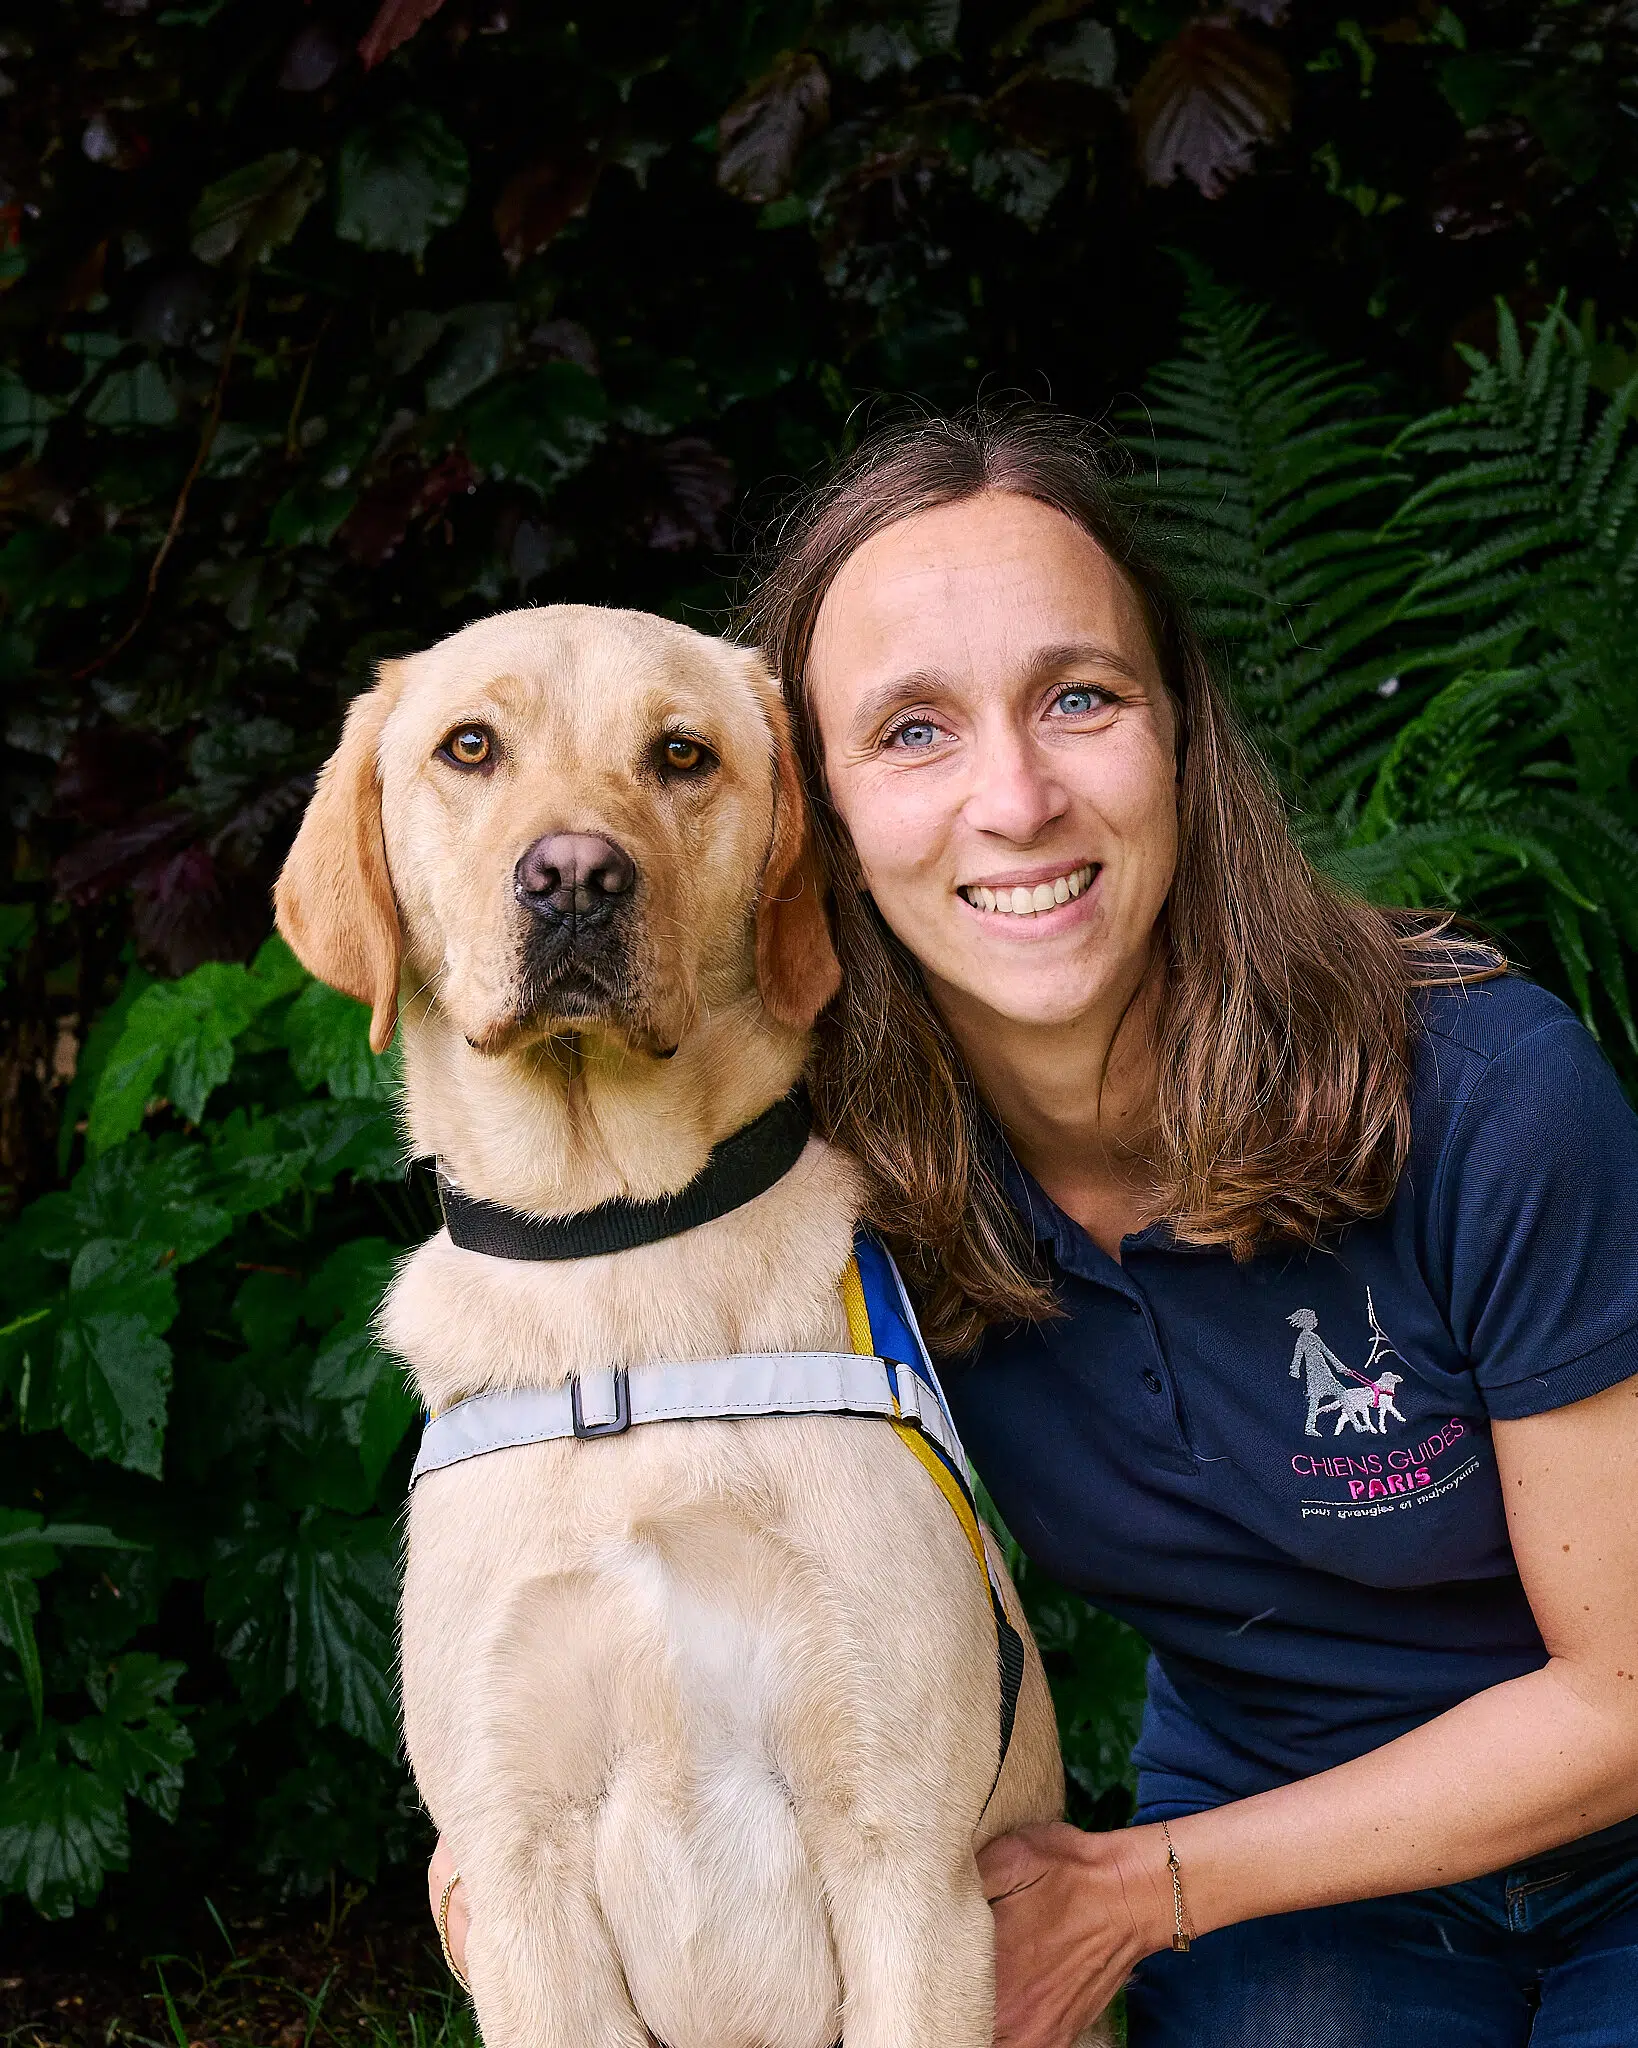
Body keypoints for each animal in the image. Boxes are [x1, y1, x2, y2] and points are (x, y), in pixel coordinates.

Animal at [274, 606, 1113, 2048]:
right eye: (468, 748)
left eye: (680, 753)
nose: (572, 877)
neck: (619, 1254)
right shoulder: (519, 1873)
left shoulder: (905, 1858)